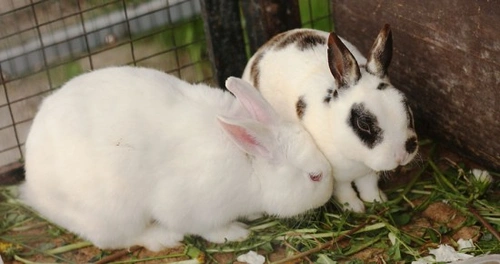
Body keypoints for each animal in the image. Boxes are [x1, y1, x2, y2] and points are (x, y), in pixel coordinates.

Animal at [20, 66, 332, 252]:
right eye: (314, 176)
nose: (329, 192)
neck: (250, 166)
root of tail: (34, 187)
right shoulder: (190, 206)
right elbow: (208, 228)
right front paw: (235, 233)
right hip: (114, 212)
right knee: (117, 239)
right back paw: (163, 237)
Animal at [242, 24, 418, 213]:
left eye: (406, 106)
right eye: (363, 124)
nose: (402, 155)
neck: (357, 158)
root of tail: (265, 45)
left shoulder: (368, 172)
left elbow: (368, 185)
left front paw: (377, 200)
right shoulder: (336, 176)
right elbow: (344, 190)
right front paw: (353, 208)